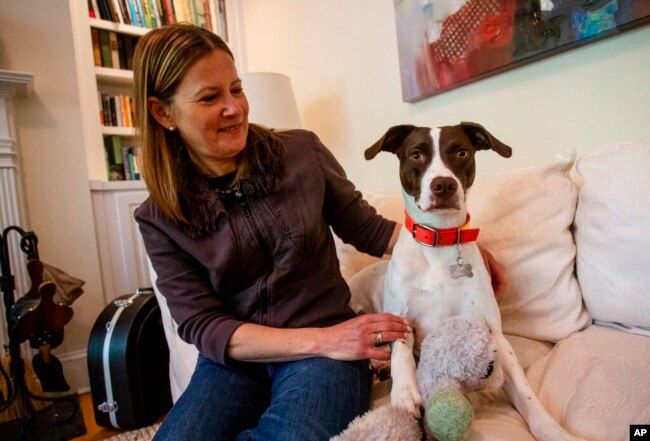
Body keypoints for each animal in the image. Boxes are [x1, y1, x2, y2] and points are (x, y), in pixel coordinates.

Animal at [362, 123, 584, 440]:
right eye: (416, 155)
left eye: (461, 152)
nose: (443, 185)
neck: (440, 240)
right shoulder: (399, 320)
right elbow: (401, 352)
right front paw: (404, 394)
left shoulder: (494, 336)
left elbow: (526, 394)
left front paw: (552, 430)